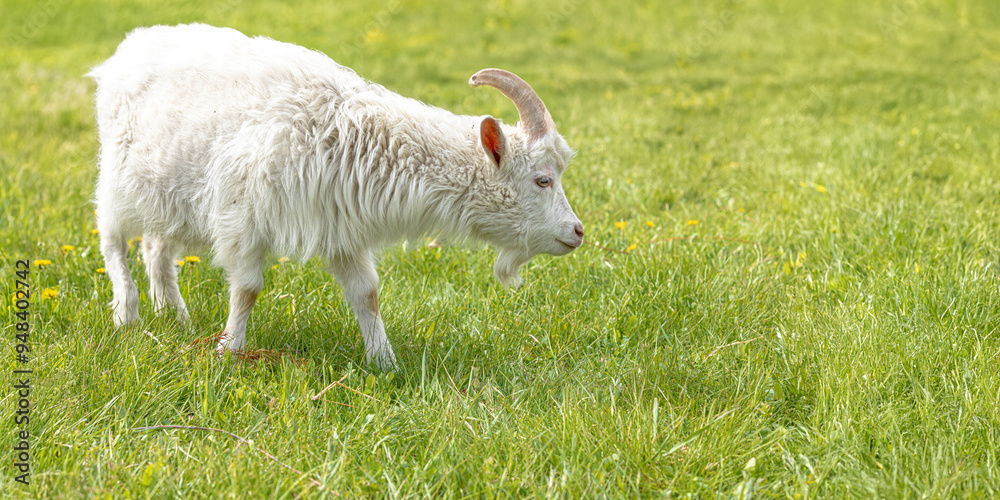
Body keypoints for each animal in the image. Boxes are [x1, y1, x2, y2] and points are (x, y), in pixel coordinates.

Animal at [88, 24, 583, 369]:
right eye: (543, 180)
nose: (577, 232)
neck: (345, 132)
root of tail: (126, 50)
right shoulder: (244, 216)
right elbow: (247, 289)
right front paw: (230, 352)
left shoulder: (341, 226)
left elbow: (367, 294)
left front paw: (385, 362)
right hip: (117, 178)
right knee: (113, 240)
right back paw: (127, 314)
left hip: (172, 197)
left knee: (156, 248)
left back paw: (175, 316)